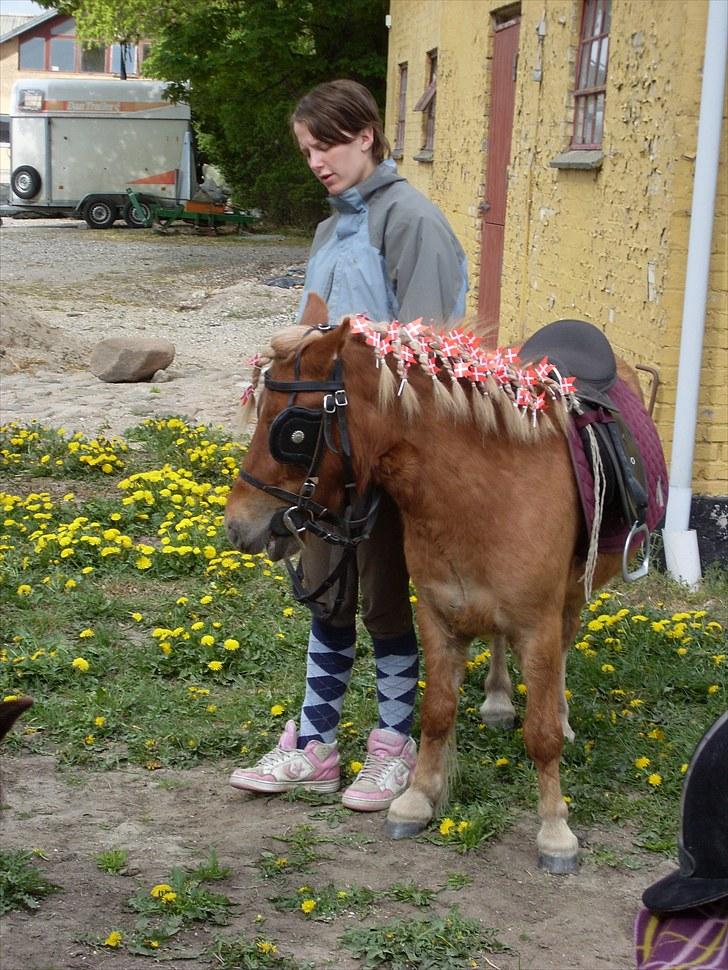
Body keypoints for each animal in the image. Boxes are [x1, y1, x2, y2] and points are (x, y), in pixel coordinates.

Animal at [228, 294, 664, 868]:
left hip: (573, 592)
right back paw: (499, 699)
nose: (237, 525)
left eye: (295, 431)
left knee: (565, 646)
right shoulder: (438, 614)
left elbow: (542, 734)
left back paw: (561, 711)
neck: (485, 493)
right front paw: (416, 799)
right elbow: (435, 713)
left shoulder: (538, 623)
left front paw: (555, 829)